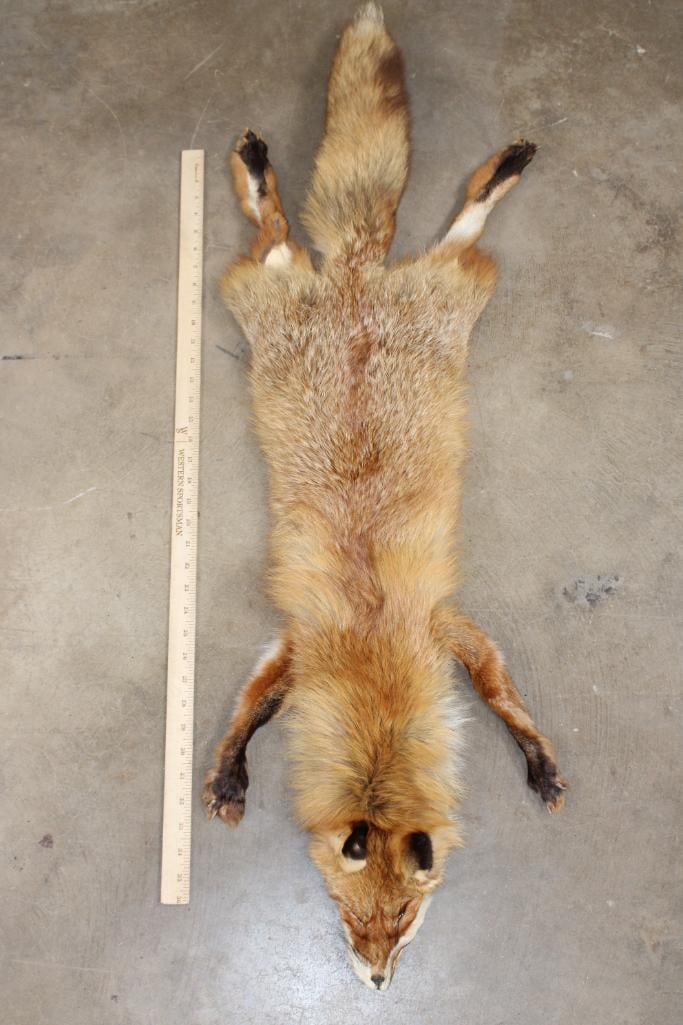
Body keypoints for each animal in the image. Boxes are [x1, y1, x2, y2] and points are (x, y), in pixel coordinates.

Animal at [203, 2, 567, 991]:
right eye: (347, 918)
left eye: (401, 923)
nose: (372, 982)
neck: (368, 667)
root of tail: (359, 277)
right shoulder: (300, 640)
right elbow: (250, 708)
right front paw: (229, 773)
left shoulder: (445, 628)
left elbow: (501, 694)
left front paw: (536, 757)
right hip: (279, 295)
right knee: (277, 234)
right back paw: (258, 162)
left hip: (446, 295)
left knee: (435, 234)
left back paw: (501, 165)